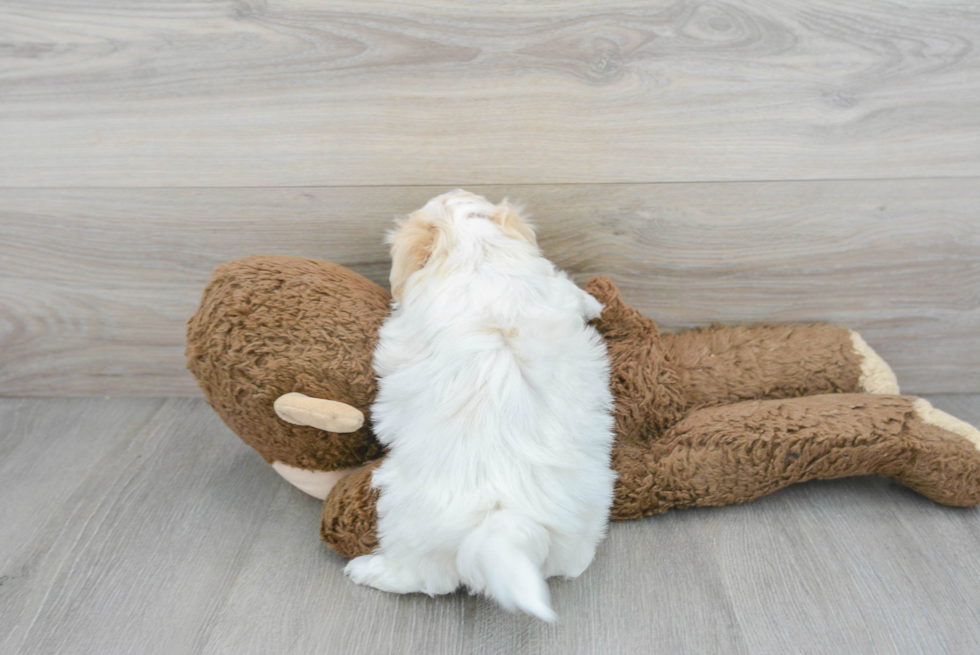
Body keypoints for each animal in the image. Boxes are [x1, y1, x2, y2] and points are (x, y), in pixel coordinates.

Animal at [344, 190, 612, 620]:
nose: (452, 190)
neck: (478, 252)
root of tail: (505, 521)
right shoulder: (554, 287)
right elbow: (575, 293)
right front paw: (595, 304)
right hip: (584, 521)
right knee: (573, 563)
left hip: (404, 519)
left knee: (421, 578)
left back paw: (367, 570)